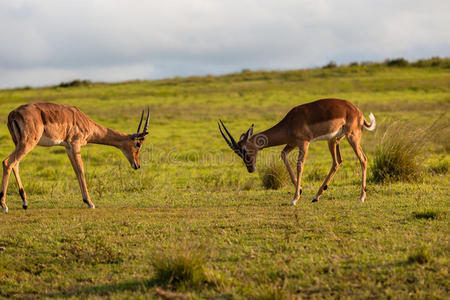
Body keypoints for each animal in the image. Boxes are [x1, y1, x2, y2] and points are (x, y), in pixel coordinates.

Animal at [0, 102, 150, 212]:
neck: (85, 121)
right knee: (7, 162)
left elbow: (76, 171)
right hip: (28, 142)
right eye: (138, 144)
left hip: (18, 143)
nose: (137, 165)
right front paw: (90, 202)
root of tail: (13, 114)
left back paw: (25, 203)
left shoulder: (68, 148)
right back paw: (4, 206)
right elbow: (81, 170)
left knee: (15, 164)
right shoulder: (75, 144)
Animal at [219, 98, 376, 204]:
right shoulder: (291, 143)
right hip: (333, 140)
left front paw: (294, 199)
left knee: (363, 159)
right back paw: (316, 196)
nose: (250, 169)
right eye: (237, 153)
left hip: (352, 137)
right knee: (337, 162)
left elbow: (300, 165)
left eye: (244, 150)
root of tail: (359, 114)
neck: (289, 123)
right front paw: (299, 190)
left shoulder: (304, 143)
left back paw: (361, 197)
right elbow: (283, 155)